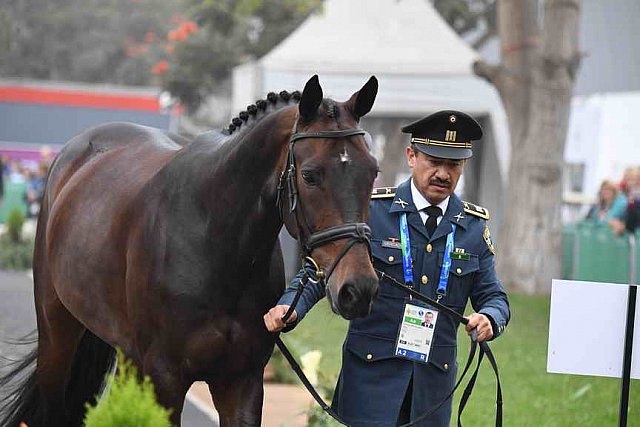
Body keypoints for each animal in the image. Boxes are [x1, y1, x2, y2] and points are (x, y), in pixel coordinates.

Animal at [0, 77, 380, 427]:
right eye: (311, 175)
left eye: (373, 172)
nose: (358, 289)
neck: (216, 243)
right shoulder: (165, 379)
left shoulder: (241, 382)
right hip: (57, 332)